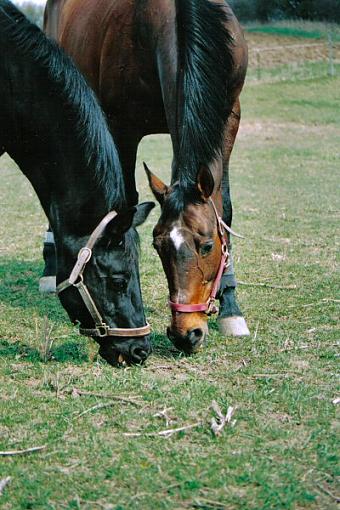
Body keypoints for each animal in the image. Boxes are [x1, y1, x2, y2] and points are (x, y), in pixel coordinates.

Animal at [43, 0, 250, 352]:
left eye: (207, 245)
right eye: (158, 245)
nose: (185, 333)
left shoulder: (229, 115)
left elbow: (225, 208)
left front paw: (231, 309)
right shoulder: (122, 126)